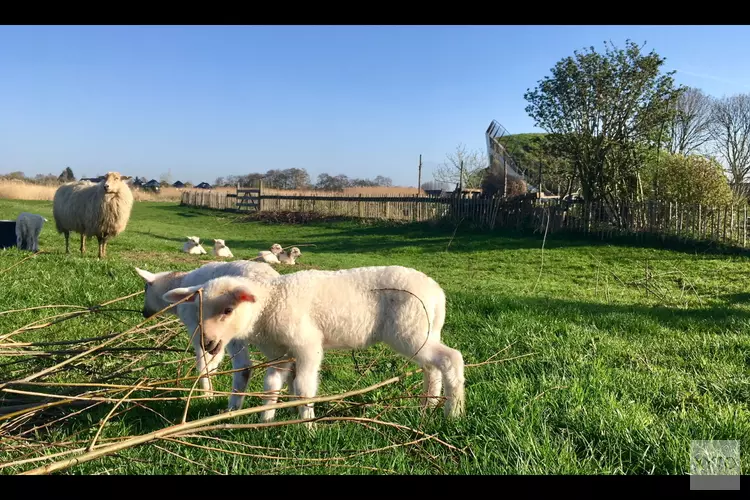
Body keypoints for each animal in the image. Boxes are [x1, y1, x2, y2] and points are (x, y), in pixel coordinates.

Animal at [134, 258, 284, 410]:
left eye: (146, 288)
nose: (144, 313)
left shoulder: (197, 328)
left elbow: (204, 361)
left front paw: (206, 394)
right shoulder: (214, 337)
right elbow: (214, 361)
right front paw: (211, 389)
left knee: (243, 367)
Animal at [164, 266, 468, 426]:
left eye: (228, 310)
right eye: (198, 311)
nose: (207, 343)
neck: (269, 305)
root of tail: (437, 294)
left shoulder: (307, 345)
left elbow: (303, 387)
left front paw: (307, 424)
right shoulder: (280, 353)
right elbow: (271, 385)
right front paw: (266, 420)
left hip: (410, 330)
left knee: (451, 359)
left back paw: (453, 413)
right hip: (421, 333)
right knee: (432, 367)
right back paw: (427, 407)